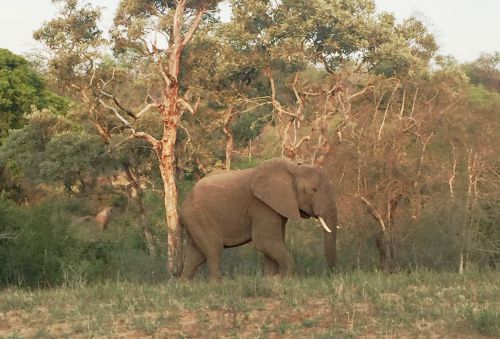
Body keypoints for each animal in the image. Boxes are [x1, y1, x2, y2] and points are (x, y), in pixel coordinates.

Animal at [178, 157, 338, 282]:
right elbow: (265, 241)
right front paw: (285, 279)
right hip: (199, 217)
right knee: (213, 248)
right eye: (314, 190)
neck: (294, 168)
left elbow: (273, 241)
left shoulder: (274, 206)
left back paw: (185, 284)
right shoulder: (262, 205)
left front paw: (271, 279)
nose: (331, 274)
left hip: (195, 219)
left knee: (197, 254)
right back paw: (216, 284)